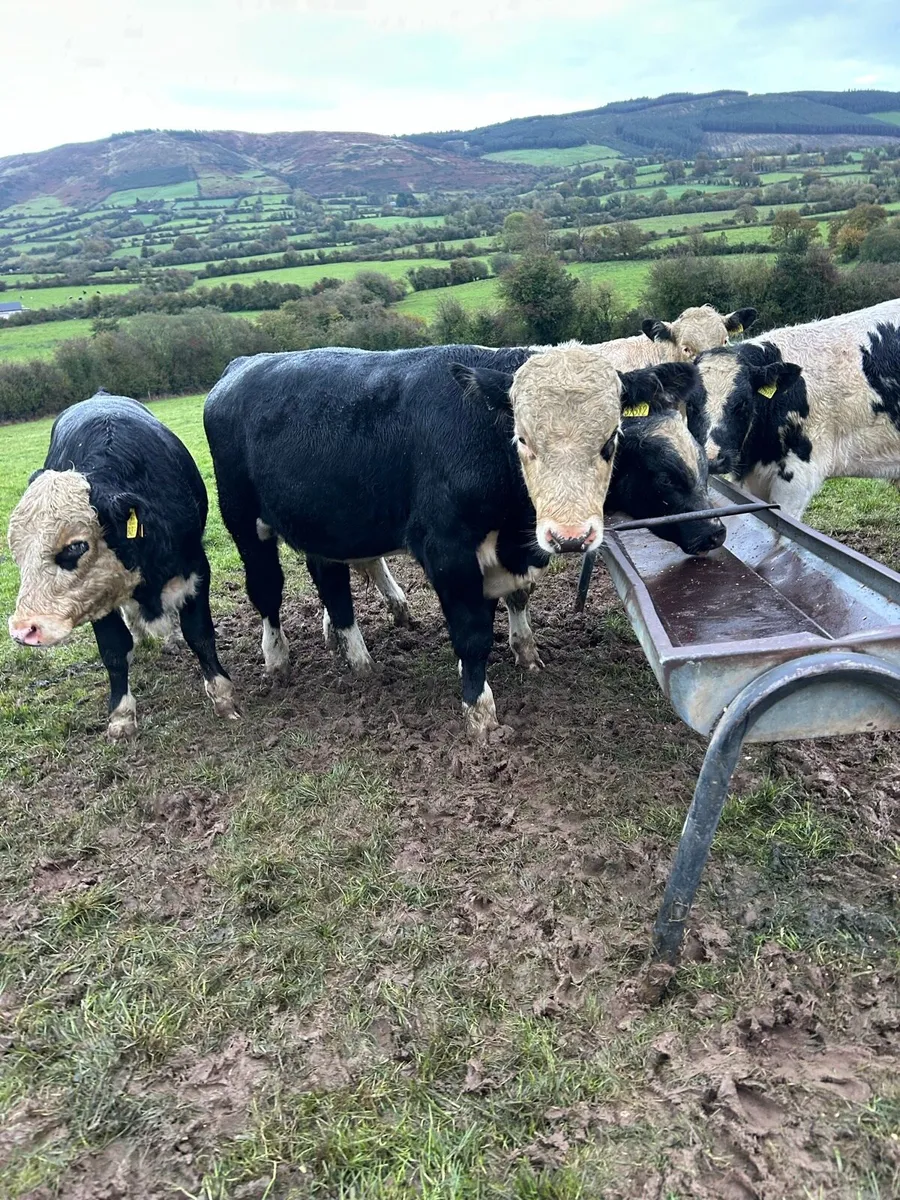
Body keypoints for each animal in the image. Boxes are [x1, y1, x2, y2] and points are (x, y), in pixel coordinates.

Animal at [7, 392, 238, 740]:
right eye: (16, 551)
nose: (23, 630)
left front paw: (223, 697)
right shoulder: (96, 598)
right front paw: (121, 716)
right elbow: (114, 651)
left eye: (75, 546)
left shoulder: (195, 571)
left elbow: (200, 634)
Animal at [203, 344, 704, 740]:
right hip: (244, 522)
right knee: (267, 590)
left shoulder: (508, 552)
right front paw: (479, 714)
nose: (570, 537)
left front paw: (523, 654)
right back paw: (277, 661)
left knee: (332, 584)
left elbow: (513, 600)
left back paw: (358, 660)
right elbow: (472, 632)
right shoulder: (447, 551)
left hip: (325, 523)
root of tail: (243, 365)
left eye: (610, 440)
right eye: (523, 438)